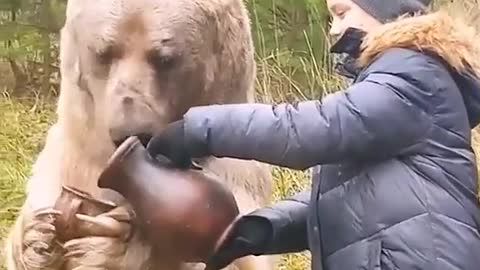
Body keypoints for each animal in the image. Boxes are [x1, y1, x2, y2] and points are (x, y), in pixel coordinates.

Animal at [4, 0, 278, 270]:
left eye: (164, 58)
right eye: (105, 52)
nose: (131, 130)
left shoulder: (237, 171)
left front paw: (112, 242)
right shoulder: (68, 159)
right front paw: (37, 238)